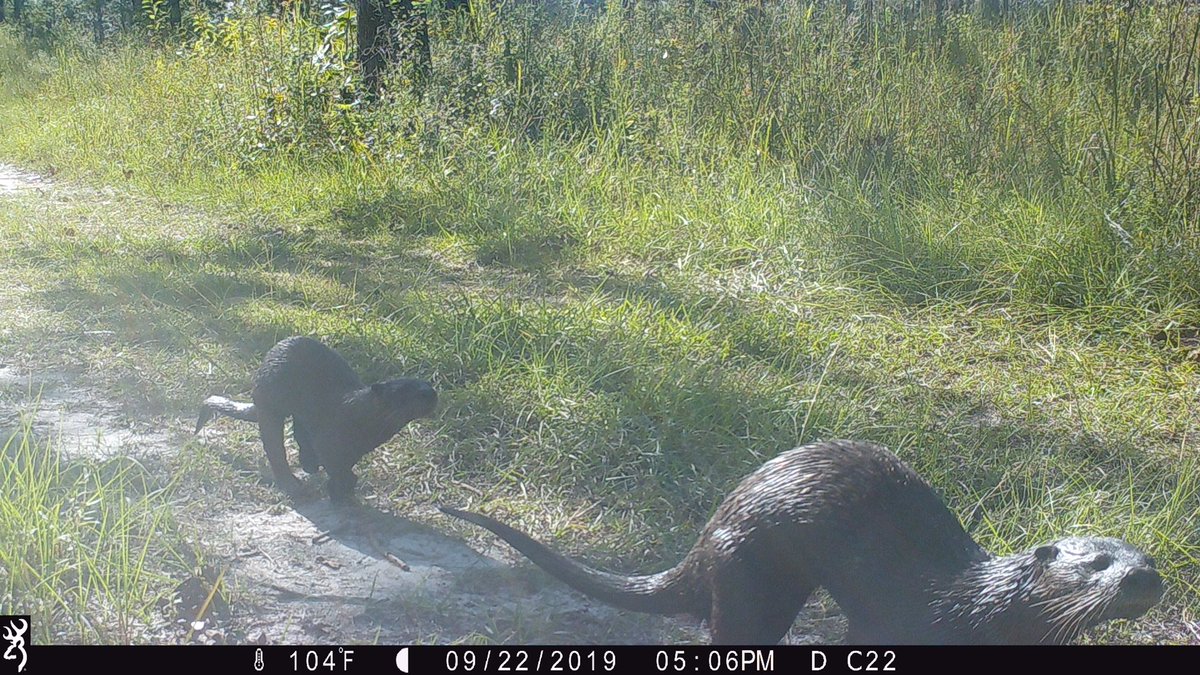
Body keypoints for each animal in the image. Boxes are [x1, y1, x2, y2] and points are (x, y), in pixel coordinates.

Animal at [196, 336, 437, 502]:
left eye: (426, 384)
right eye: (405, 391)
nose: (431, 393)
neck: (358, 416)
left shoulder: (356, 448)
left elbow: (344, 465)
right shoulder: (330, 438)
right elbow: (335, 464)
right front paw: (339, 492)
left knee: (300, 434)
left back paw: (309, 465)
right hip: (271, 401)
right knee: (275, 449)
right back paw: (293, 485)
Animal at [441, 440, 1162, 644]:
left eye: (1149, 558)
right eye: (1099, 562)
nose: (1143, 577)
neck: (979, 610)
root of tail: (709, 532)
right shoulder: (903, 628)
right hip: (752, 570)